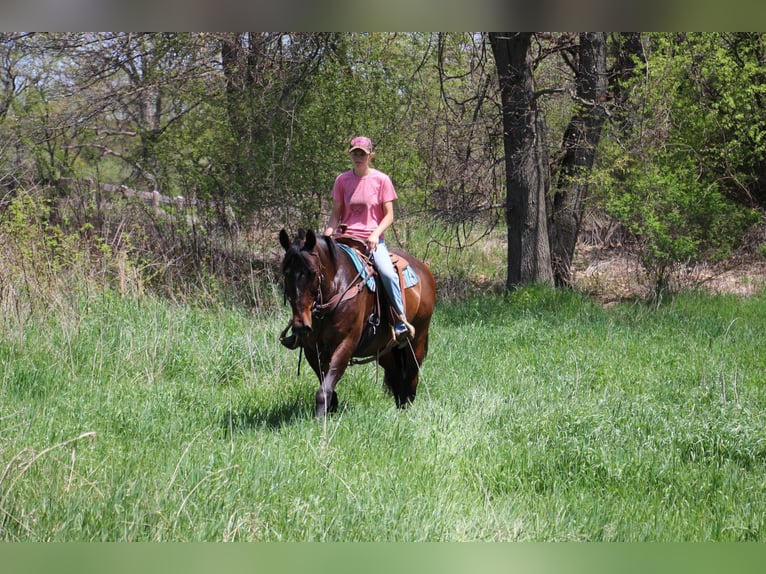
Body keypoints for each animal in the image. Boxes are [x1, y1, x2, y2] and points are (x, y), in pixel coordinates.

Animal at [280, 230, 438, 418]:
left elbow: (326, 386)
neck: (337, 288)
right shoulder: (312, 349)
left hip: (416, 341)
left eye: (312, 272)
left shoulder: (345, 344)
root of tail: (424, 269)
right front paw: (330, 409)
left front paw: (319, 419)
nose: (301, 326)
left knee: (412, 376)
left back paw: (407, 407)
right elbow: (325, 383)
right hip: (385, 349)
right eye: (286, 273)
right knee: (397, 376)